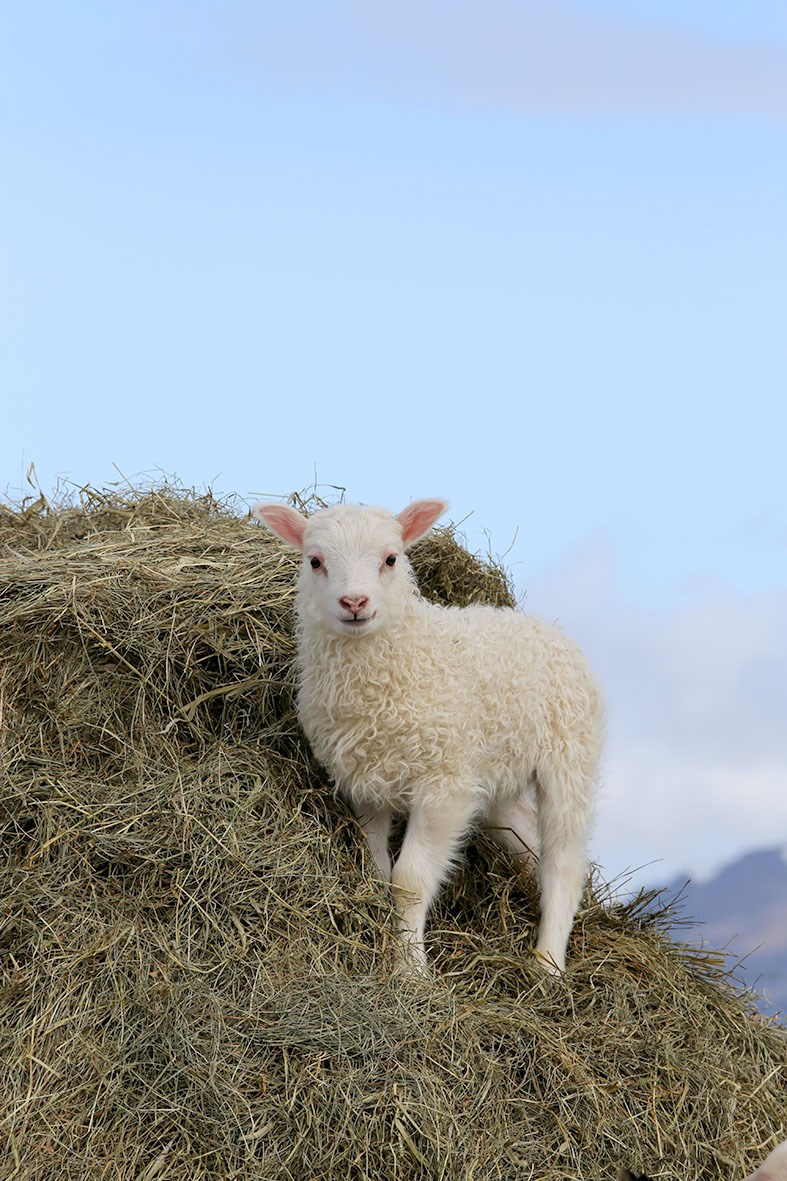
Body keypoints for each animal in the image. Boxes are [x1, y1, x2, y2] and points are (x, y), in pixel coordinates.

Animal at [256, 500, 600, 977]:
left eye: (390, 558)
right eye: (315, 562)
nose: (354, 602)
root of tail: (543, 628)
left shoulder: (445, 786)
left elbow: (409, 882)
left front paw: (411, 971)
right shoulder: (366, 783)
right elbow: (378, 870)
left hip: (569, 755)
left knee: (564, 861)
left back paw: (548, 964)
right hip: (493, 775)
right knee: (531, 839)